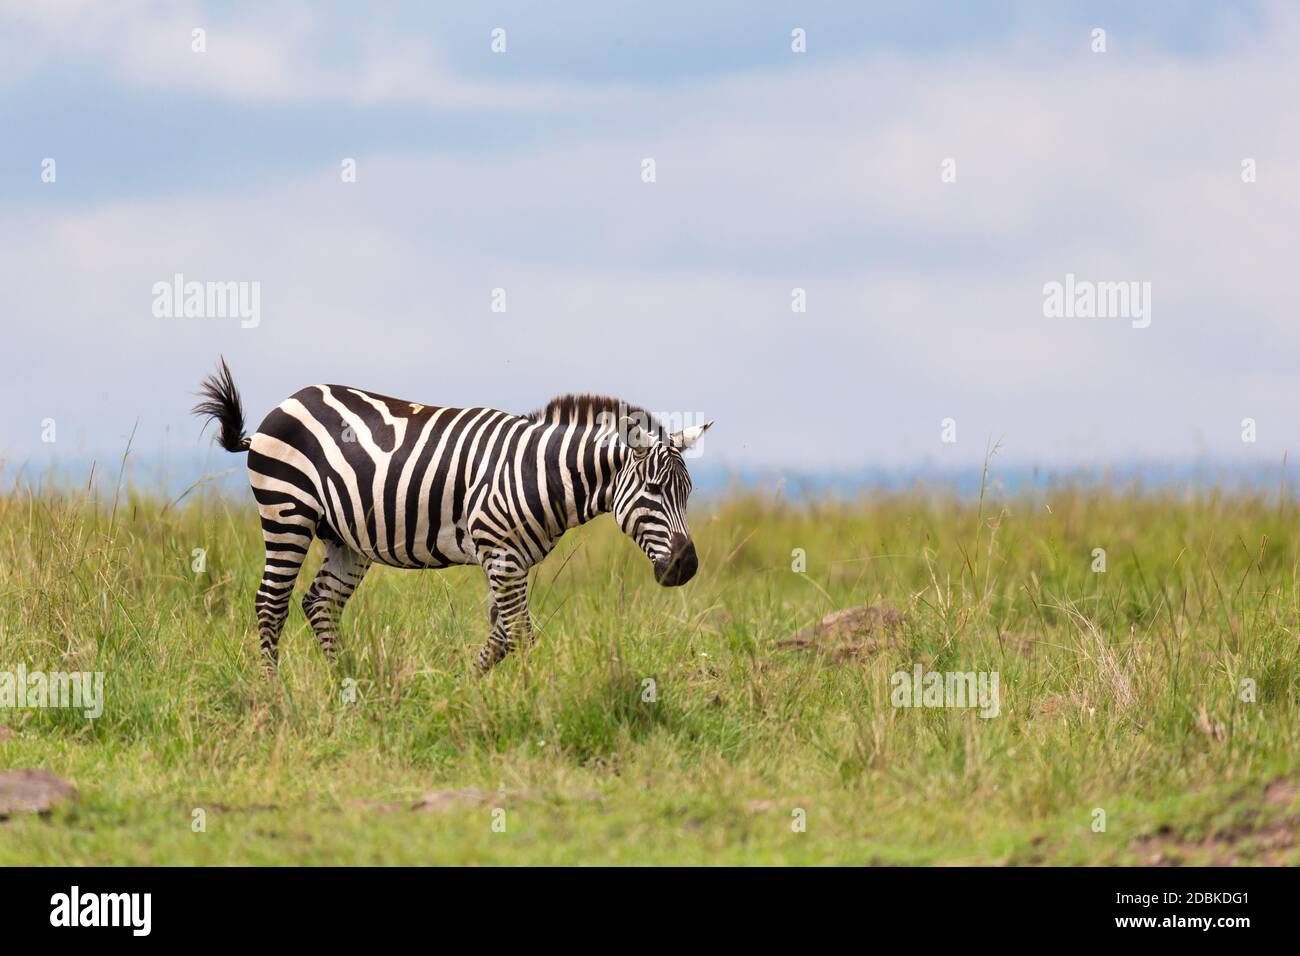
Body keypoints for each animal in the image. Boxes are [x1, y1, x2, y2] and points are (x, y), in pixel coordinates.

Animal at [195, 358, 712, 671]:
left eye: (688, 494)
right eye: (652, 489)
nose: (687, 567)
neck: (538, 471)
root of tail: (288, 401)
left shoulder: (511, 560)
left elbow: (503, 634)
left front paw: (468, 686)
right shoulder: (500, 553)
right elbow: (520, 634)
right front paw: (537, 699)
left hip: (345, 538)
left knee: (319, 603)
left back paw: (349, 684)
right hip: (288, 512)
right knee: (271, 603)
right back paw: (273, 692)